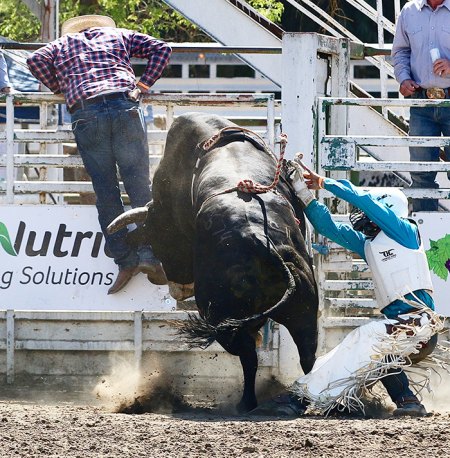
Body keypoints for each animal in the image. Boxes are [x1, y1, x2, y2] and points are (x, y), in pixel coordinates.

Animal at [108, 112, 320, 414]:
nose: (174, 287)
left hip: (222, 318)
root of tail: (257, 237)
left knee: (249, 357)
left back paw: (246, 403)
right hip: (304, 308)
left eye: (158, 239)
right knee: (307, 354)